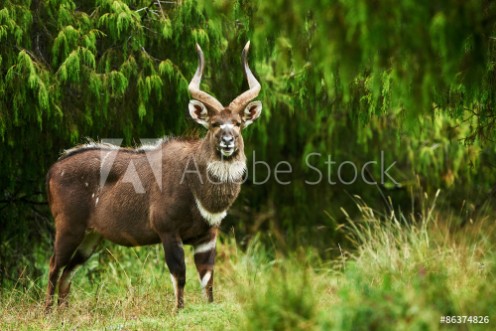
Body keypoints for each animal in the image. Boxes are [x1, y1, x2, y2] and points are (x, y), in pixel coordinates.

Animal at [45, 42, 264, 312]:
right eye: (213, 123)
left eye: (238, 123)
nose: (227, 141)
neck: (196, 185)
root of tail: (53, 169)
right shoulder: (167, 230)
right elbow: (179, 275)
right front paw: (178, 311)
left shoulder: (207, 236)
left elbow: (208, 281)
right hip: (68, 227)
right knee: (54, 266)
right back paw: (47, 313)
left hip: (91, 237)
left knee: (68, 272)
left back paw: (62, 313)